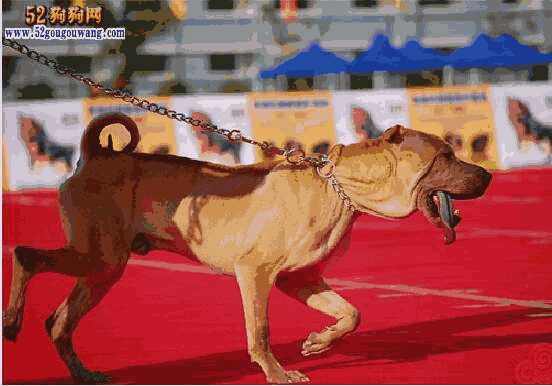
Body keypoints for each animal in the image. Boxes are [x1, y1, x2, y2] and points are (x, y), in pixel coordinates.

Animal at [2, 112, 490, 382]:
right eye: (445, 156)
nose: (487, 175)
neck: (340, 188)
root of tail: (97, 154)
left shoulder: (301, 279)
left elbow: (352, 313)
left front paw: (318, 343)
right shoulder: (255, 273)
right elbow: (260, 331)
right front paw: (277, 374)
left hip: (102, 270)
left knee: (59, 322)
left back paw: (82, 373)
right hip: (99, 256)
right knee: (25, 256)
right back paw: (11, 320)